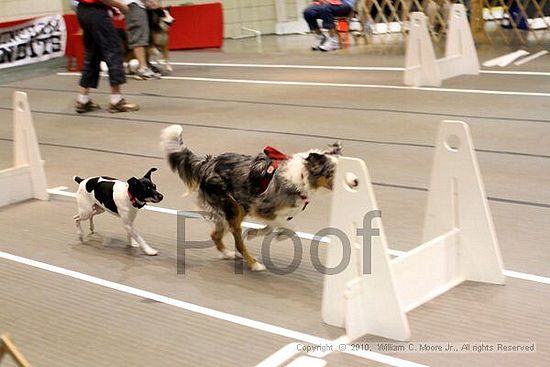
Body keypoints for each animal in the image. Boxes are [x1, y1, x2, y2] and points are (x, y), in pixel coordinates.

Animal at [160, 125, 342, 272]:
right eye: (332, 172)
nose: (350, 181)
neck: (303, 177)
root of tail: (207, 163)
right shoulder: (261, 207)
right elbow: (290, 226)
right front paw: (280, 235)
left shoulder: (271, 212)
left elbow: (272, 227)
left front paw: (255, 233)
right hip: (234, 209)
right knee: (238, 242)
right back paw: (254, 264)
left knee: (215, 235)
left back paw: (227, 253)